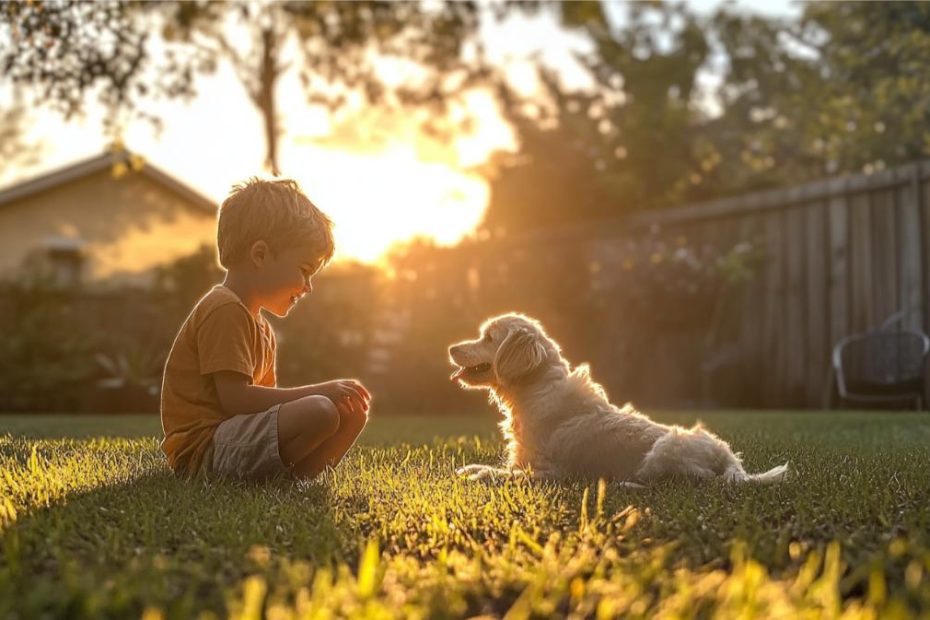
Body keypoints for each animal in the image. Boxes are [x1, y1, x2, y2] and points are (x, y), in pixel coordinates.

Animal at [446, 314, 788, 484]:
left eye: (488, 338)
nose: (450, 348)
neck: (535, 388)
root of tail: (730, 461)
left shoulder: (549, 471)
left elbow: (501, 473)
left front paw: (479, 474)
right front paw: (469, 468)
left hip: (666, 450)